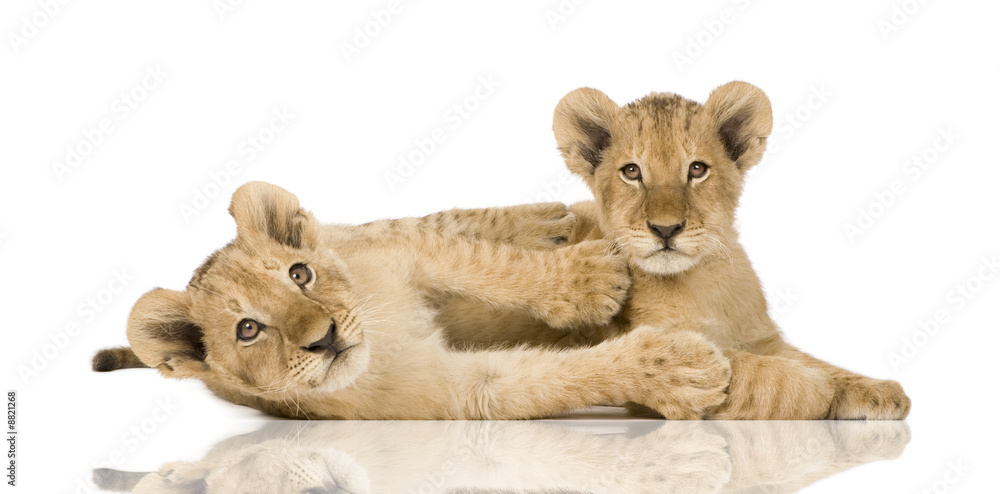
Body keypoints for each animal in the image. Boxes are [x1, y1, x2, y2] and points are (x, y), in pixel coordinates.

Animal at [93, 181, 732, 420]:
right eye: (247, 330)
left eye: (300, 274)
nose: (325, 337)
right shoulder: (457, 391)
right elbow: (556, 378)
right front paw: (675, 371)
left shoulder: (412, 254)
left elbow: (489, 263)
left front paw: (584, 281)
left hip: (371, 230)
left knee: (430, 218)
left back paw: (545, 222)